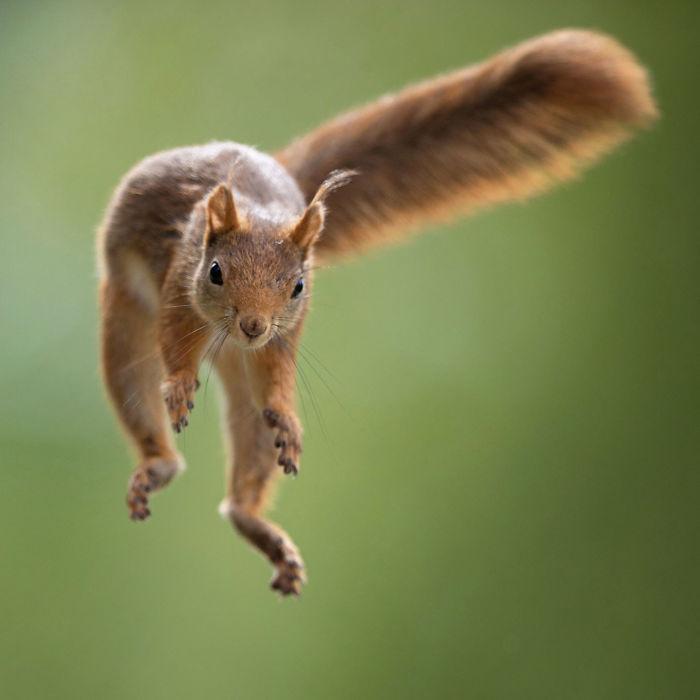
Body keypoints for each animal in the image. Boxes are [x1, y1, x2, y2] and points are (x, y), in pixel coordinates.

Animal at [97, 30, 656, 596]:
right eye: (215, 272)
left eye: (298, 286)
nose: (253, 325)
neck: (259, 211)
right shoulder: (178, 282)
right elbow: (173, 338)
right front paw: (179, 384)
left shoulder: (284, 334)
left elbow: (277, 376)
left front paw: (287, 416)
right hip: (124, 321)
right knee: (136, 386)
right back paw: (159, 463)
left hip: (241, 378)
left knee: (249, 447)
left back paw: (254, 518)